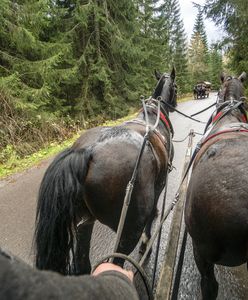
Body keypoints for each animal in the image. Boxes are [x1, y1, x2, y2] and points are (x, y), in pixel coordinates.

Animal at [35, 68, 177, 276]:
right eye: (176, 87)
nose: (174, 105)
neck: (153, 116)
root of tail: (89, 151)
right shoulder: (159, 186)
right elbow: (153, 214)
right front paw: (146, 244)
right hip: (128, 231)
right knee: (116, 262)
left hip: (84, 221)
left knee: (83, 264)